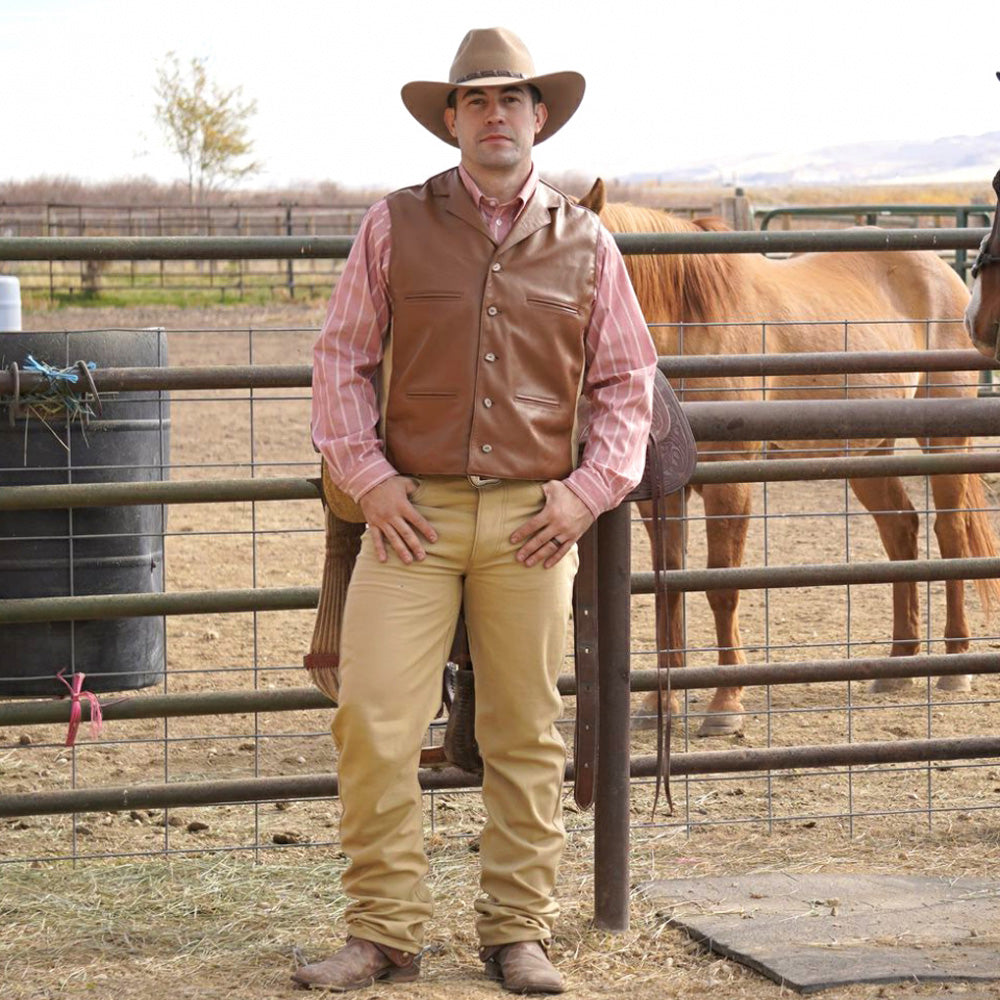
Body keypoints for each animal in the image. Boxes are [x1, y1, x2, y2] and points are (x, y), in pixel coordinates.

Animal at [580, 178, 1000, 736]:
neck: (691, 323)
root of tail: (944, 275)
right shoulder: (662, 496)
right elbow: (671, 584)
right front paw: (659, 705)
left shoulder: (729, 481)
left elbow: (721, 585)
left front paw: (725, 704)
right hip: (871, 453)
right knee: (901, 530)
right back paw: (898, 664)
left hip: (944, 443)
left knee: (950, 534)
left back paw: (955, 664)